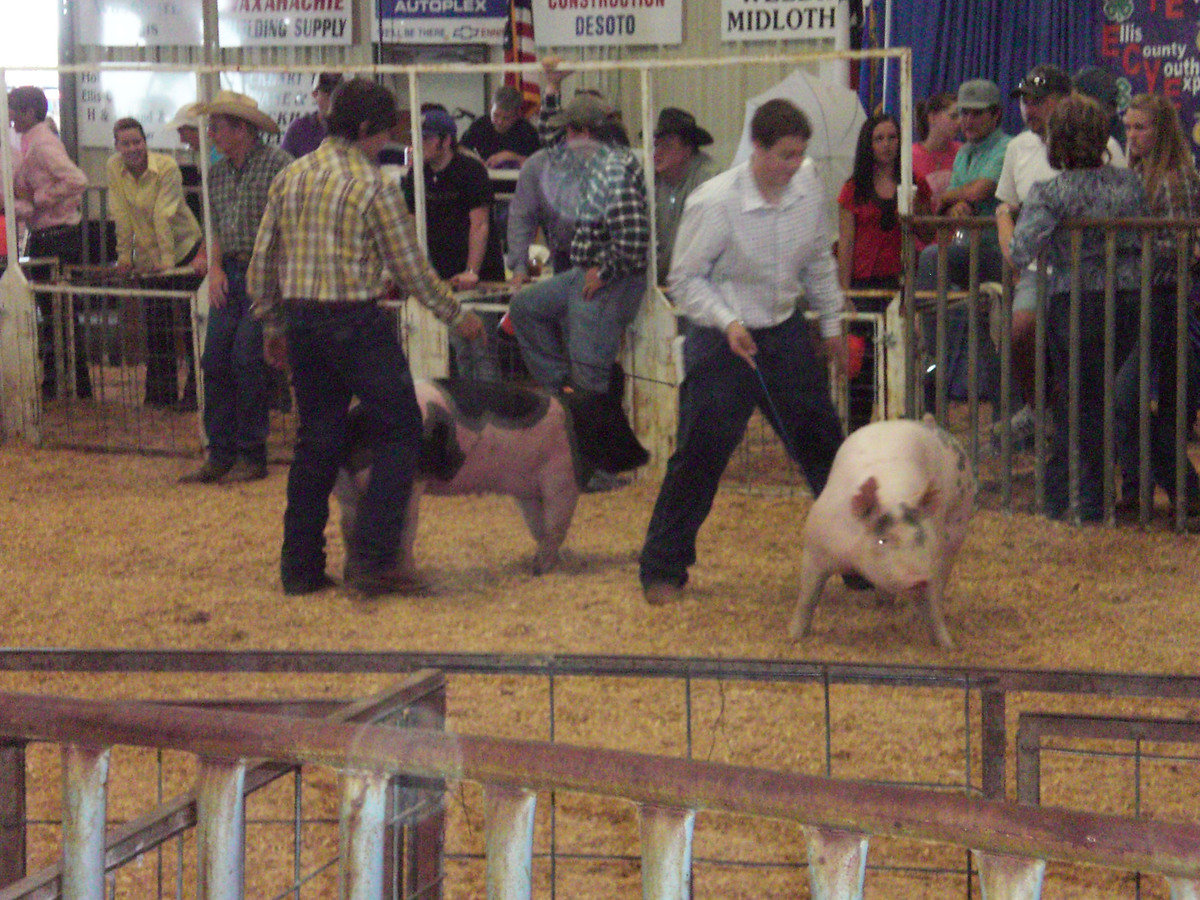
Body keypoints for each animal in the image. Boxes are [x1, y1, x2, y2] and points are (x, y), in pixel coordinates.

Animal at [336, 379, 583, 578]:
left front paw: (549, 564)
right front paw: (542, 569)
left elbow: (540, 526)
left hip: (346, 487)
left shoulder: (529, 490)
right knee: (400, 529)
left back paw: (353, 575)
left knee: (349, 527)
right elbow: (555, 524)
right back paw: (410, 576)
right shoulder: (561, 475)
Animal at [792, 415, 979, 648]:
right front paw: (794, 636)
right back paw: (883, 603)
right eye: (883, 540)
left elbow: (932, 606)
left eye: (920, 537)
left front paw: (948, 645)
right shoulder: (815, 548)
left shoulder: (927, 559)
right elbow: (807, 596)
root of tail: (929, 423)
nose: (917, 578)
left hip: (958, 519)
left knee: (945, 568)